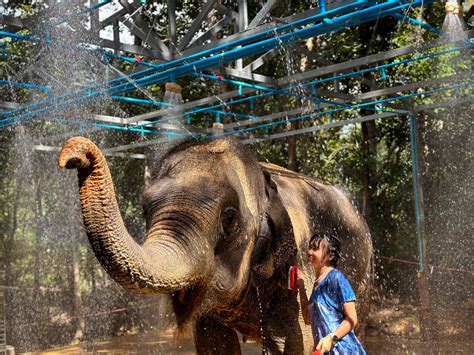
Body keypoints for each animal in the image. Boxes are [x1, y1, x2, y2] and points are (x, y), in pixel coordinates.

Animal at [57, 137, 372, 355]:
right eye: (146, 210)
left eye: (229, 219)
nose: (71, 156)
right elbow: (214, 344)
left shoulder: (295, 270)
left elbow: (296, 342)